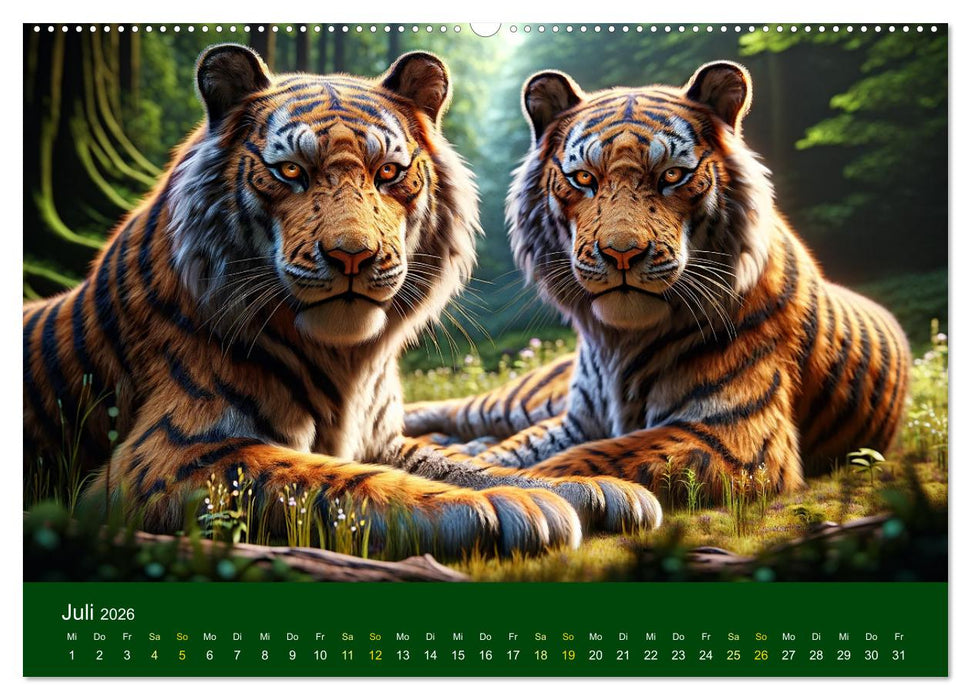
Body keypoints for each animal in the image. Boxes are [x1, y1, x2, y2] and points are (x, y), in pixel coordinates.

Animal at [22, 44, 661, 559]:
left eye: (389, 173)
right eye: (290, 171)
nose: (352, 256)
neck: (346, 360)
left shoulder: (383, 438)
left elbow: (463, 463)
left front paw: (597, 491)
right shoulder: (170, 456)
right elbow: (339, 479)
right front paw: (514, 508)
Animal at [405, 61, 911, 499]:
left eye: (672, 175)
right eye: (583, 178)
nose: (621, 253)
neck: (617, 344)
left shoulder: (737, 437)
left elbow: (582, 459)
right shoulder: (574, 420)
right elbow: (515, 451)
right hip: (525, 397)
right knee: (456, 410)